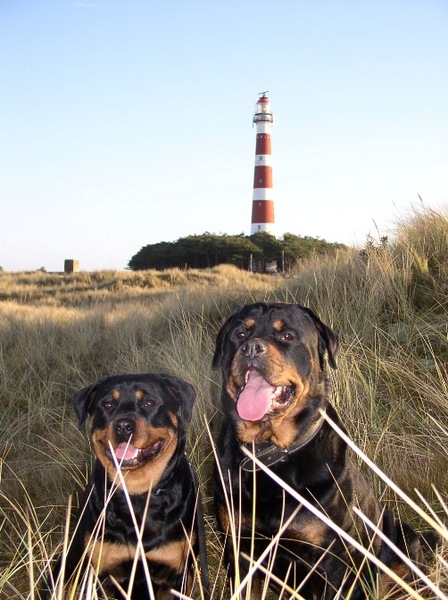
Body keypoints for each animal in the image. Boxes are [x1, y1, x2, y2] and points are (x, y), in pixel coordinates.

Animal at [43, 372, 209, 596]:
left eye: (149, 403)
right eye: (107, 404)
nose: (123, 426)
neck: (136, 495)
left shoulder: (176, 575)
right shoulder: (102, 576)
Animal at [214, 304, 434, 600]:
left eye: (286, 335)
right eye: (239, 334)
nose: (250, 348)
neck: (271, 452)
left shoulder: (333, 560)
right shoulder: (240, 552)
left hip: (402, 537)